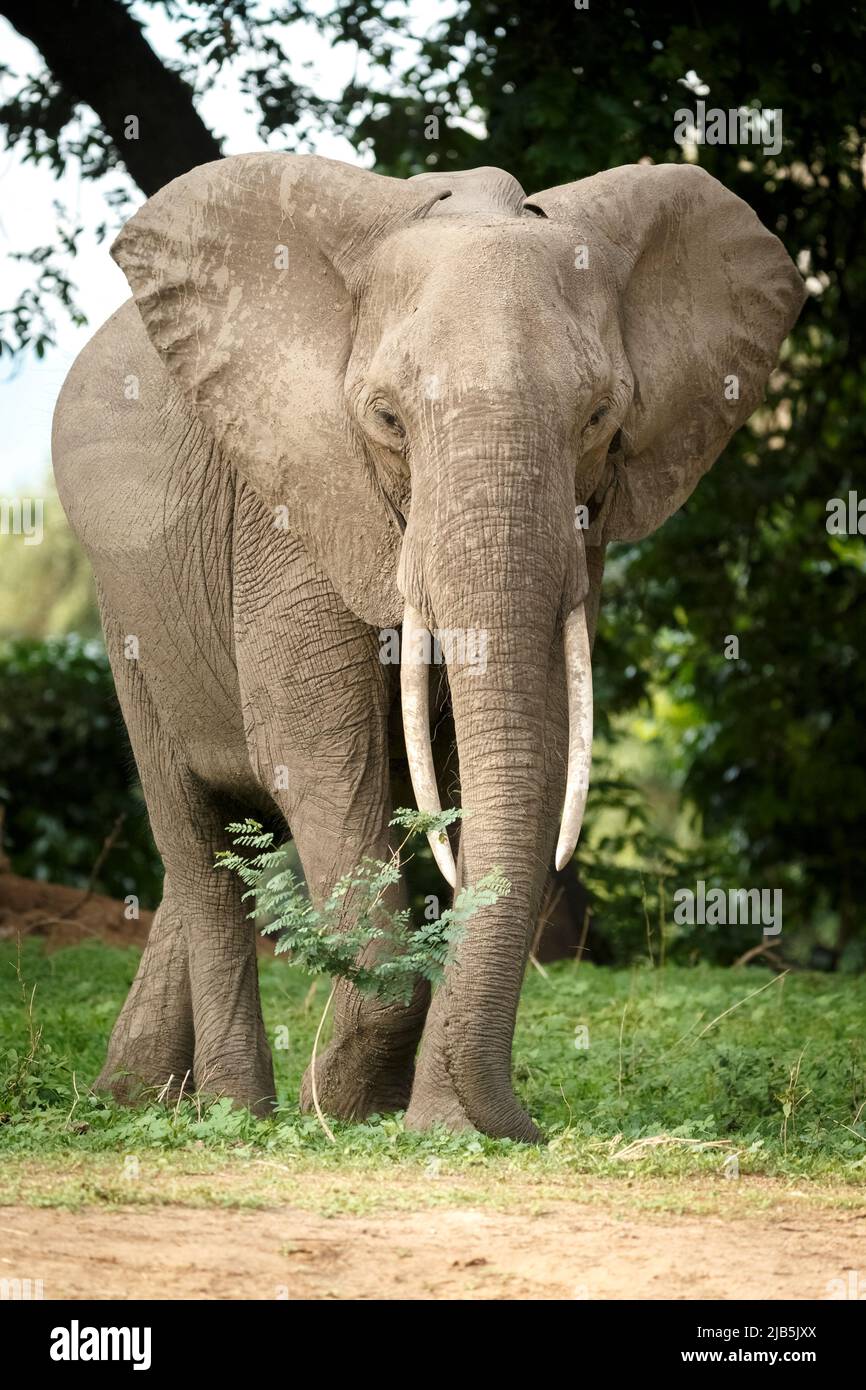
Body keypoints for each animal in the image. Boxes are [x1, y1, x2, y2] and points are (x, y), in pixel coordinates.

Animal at [50, 157, 800, 1145]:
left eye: (600, 416)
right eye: (387, 419)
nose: (528, 1129)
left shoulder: (585, 522)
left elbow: (536, 744)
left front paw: (433, 1127)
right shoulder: (295, 499)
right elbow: (316, 751)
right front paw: (341, 1110)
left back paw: (136, 1098)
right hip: (126, 603)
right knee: (196, 833)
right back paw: (231, 1111)